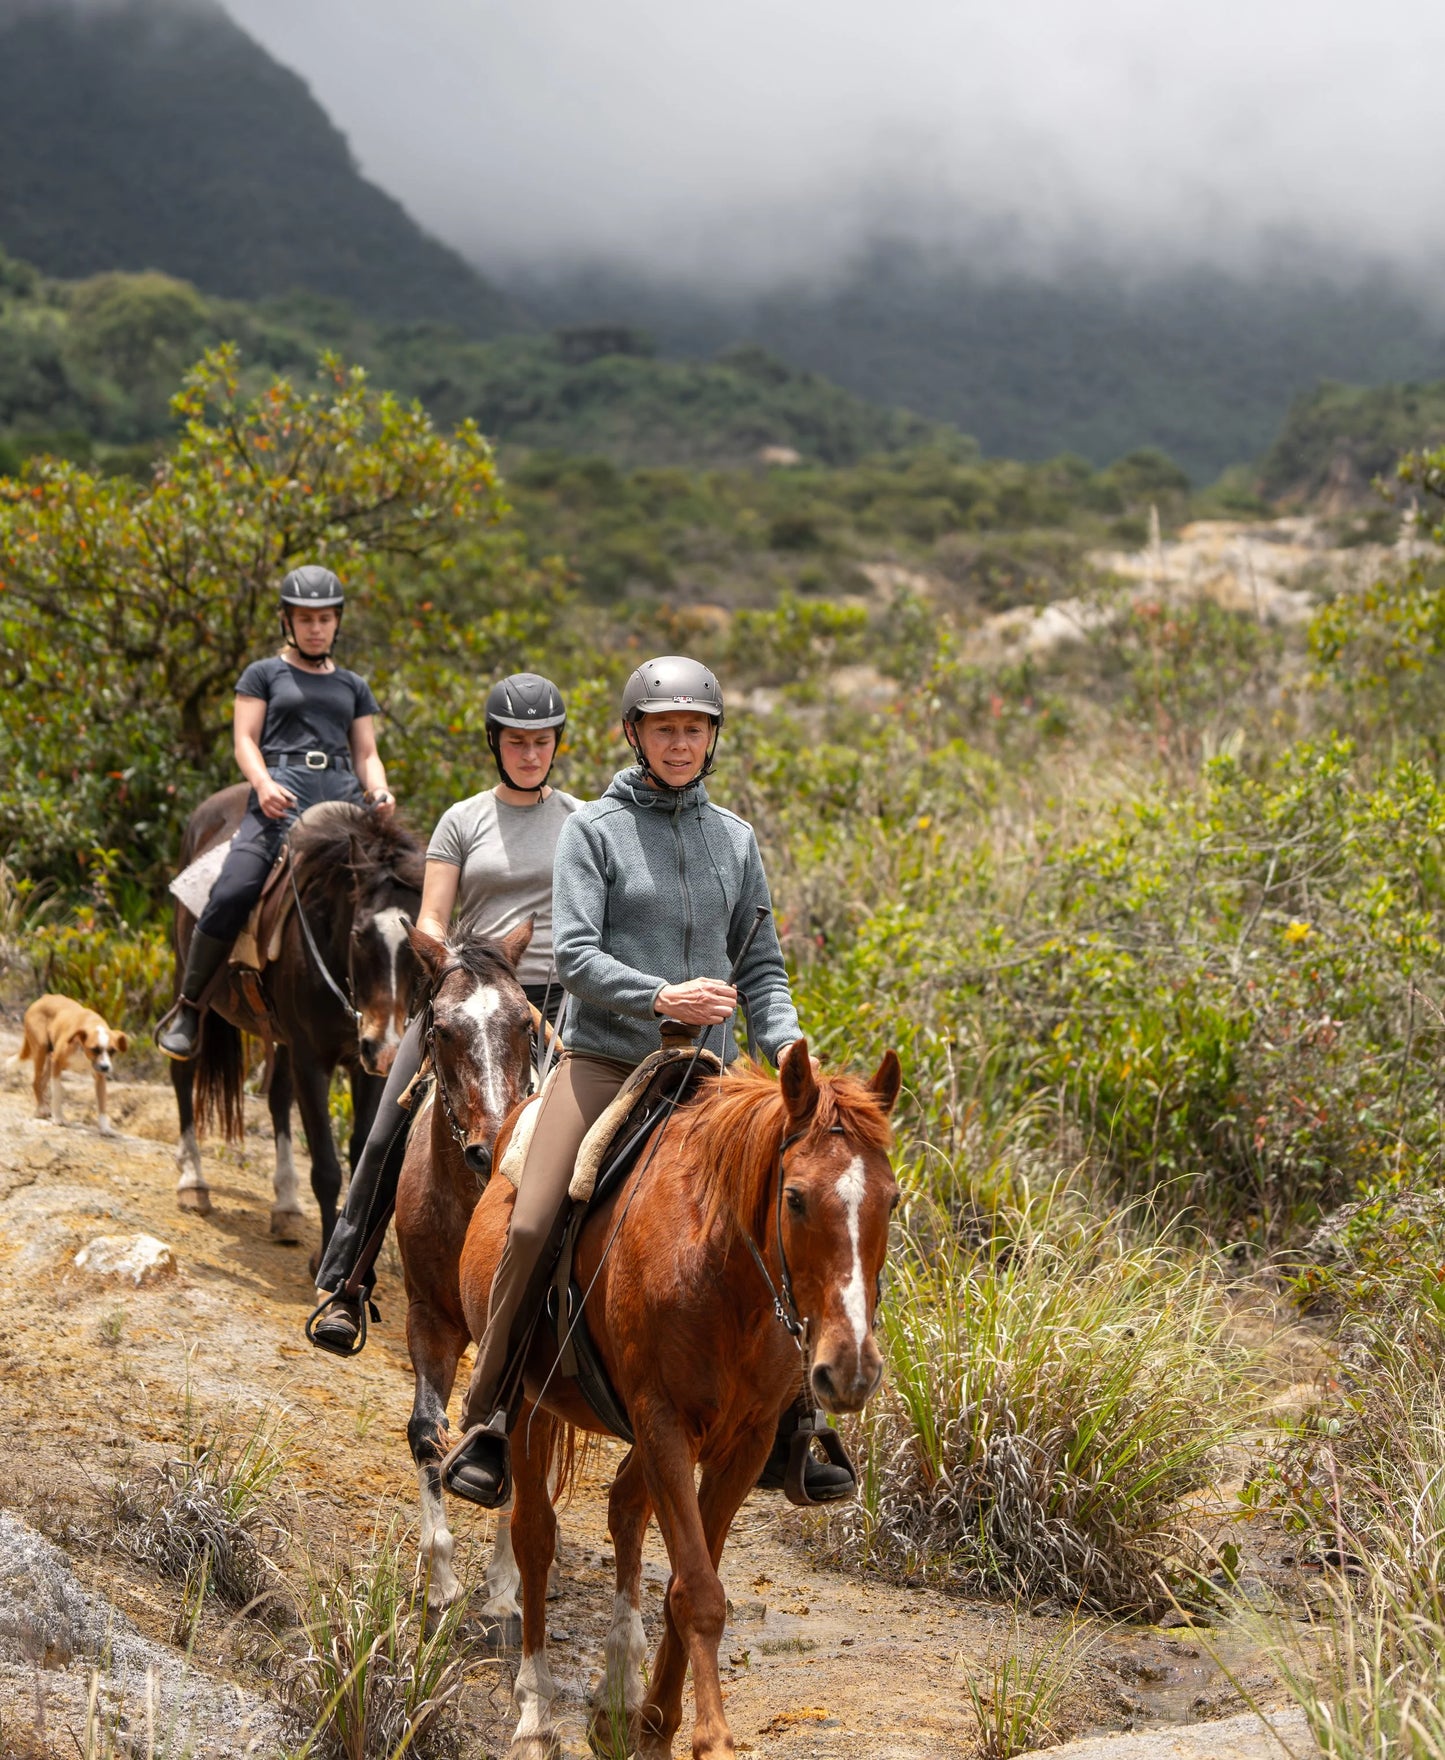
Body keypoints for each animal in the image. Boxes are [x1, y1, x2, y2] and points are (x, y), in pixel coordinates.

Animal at [168, 786, 425, 1247]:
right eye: (359, 934)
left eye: (415, 944)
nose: (384, 1047)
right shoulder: (311, 1060)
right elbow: (326, 1169)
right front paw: (321, 1258)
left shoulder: (365, 1069)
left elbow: (359, 1155)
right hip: (189, 987)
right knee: (183, 1070)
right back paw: (193, 1182)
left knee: (276, 1099)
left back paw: (285, 1206)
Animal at [457, 1037, 901, 1760]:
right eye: (796, 1198)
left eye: (890, 1201)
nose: (851, 1370)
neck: (721, 1270)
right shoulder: (664, 1424)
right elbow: (698, 1590)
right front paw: (707, 1737)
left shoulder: (742, 1443)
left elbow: (688, 1579)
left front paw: (654, 1723)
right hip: (528, 1408)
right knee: (534, 1535)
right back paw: (535, 1712)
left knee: (624, 1510)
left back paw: (616, 1696)